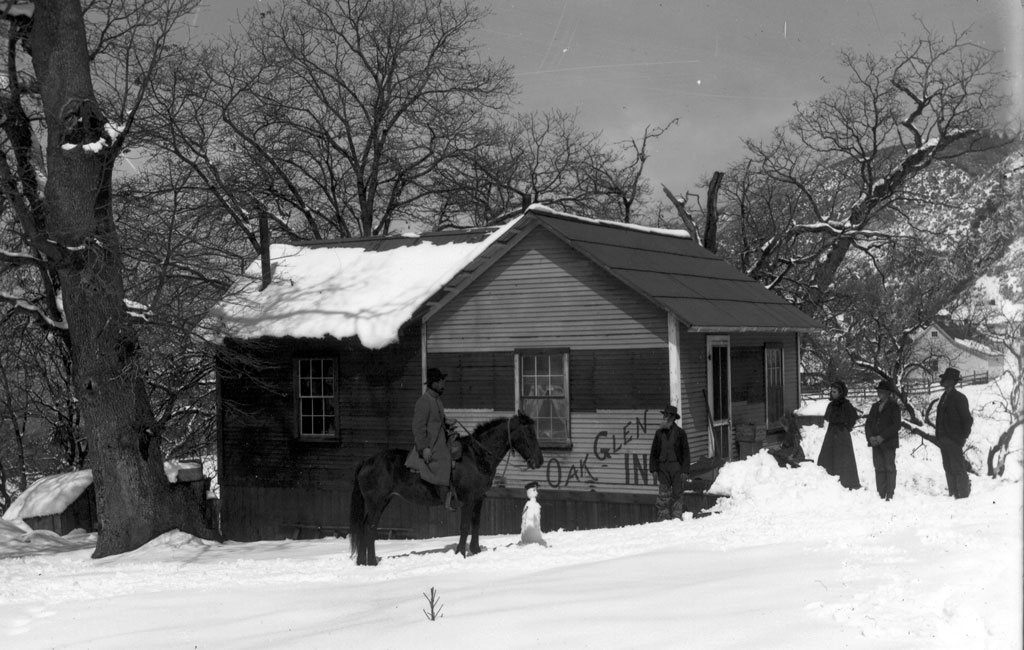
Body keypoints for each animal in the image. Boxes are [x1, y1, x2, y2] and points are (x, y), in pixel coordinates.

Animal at [350, 413, 544, 569]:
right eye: (529, 433)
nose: (539, 461)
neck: (476, 457)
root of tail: (367, 462)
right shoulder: (468, 499)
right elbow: (465, 526)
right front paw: (461, 553)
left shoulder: (479, 498)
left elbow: (476, 524)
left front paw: (475, 550)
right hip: (376, 502)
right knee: (369, 527)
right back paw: (371, 562)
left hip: (383, 501)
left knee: (367, 527)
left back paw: (363, 562)